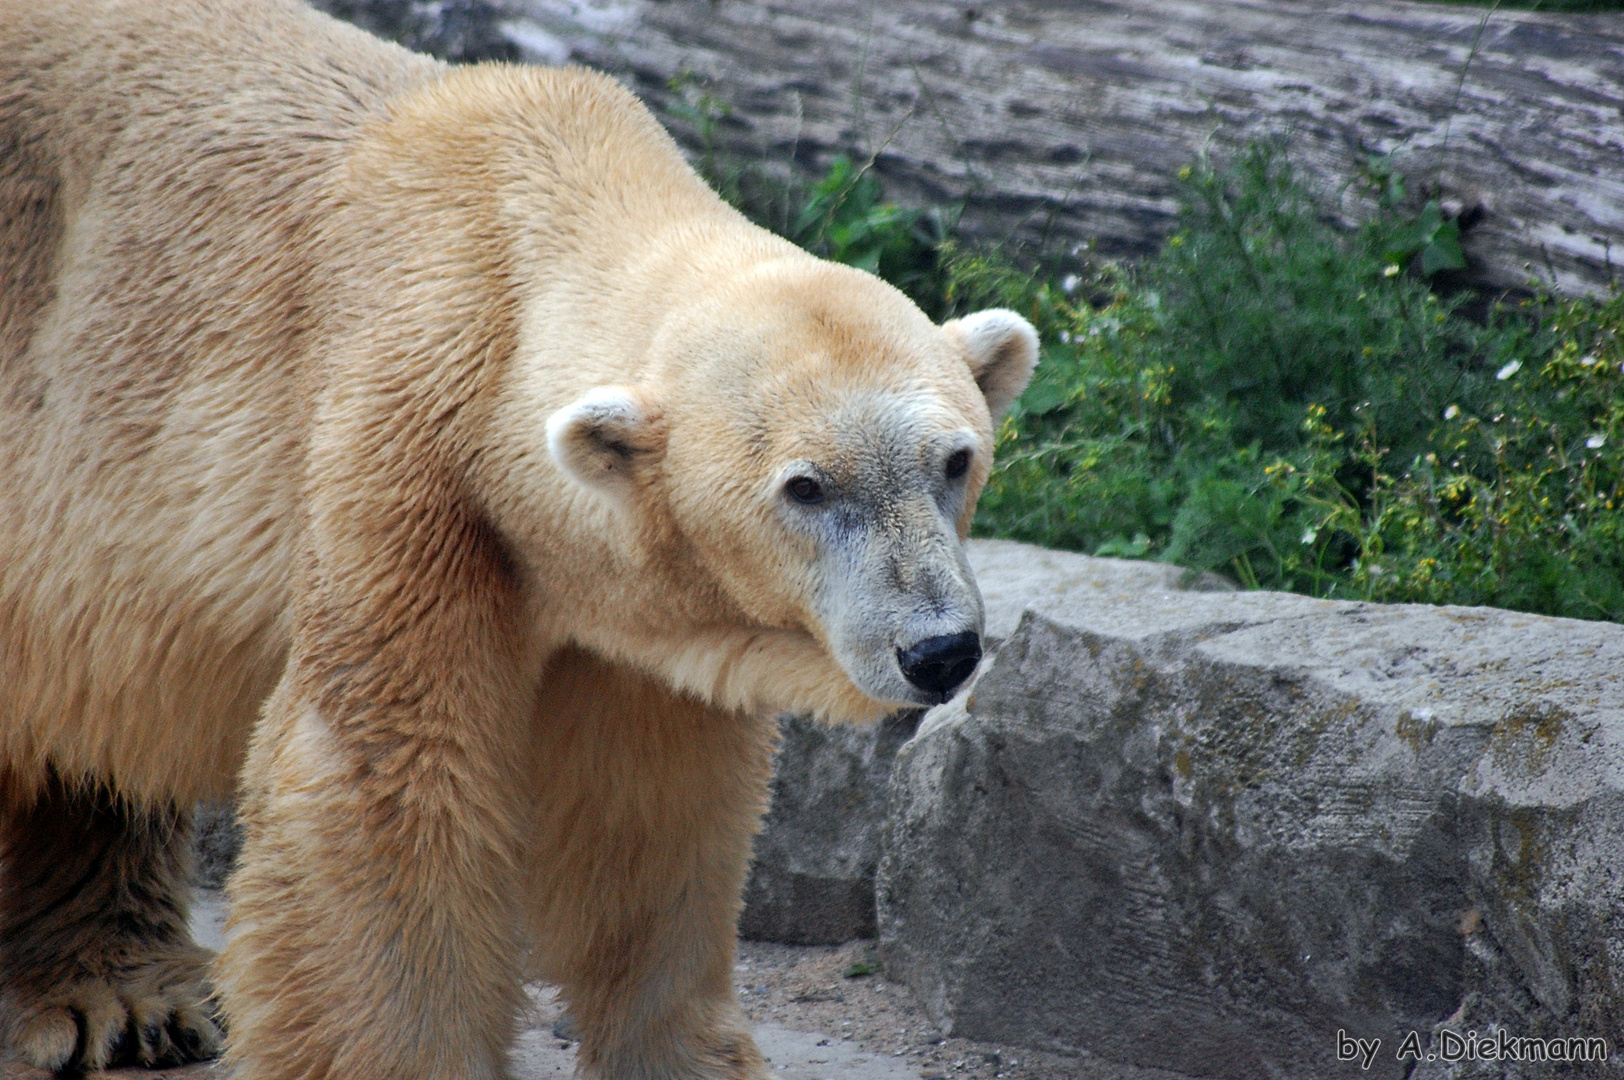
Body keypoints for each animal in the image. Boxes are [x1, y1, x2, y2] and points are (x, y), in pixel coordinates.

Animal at [0, 2, 1039, 1078]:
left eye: (955, 459)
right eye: (805, 487)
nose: (939, 649)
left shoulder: (621, 606)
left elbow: (653, 810)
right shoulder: (407, 463)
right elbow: (384, 783)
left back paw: (126, 992)